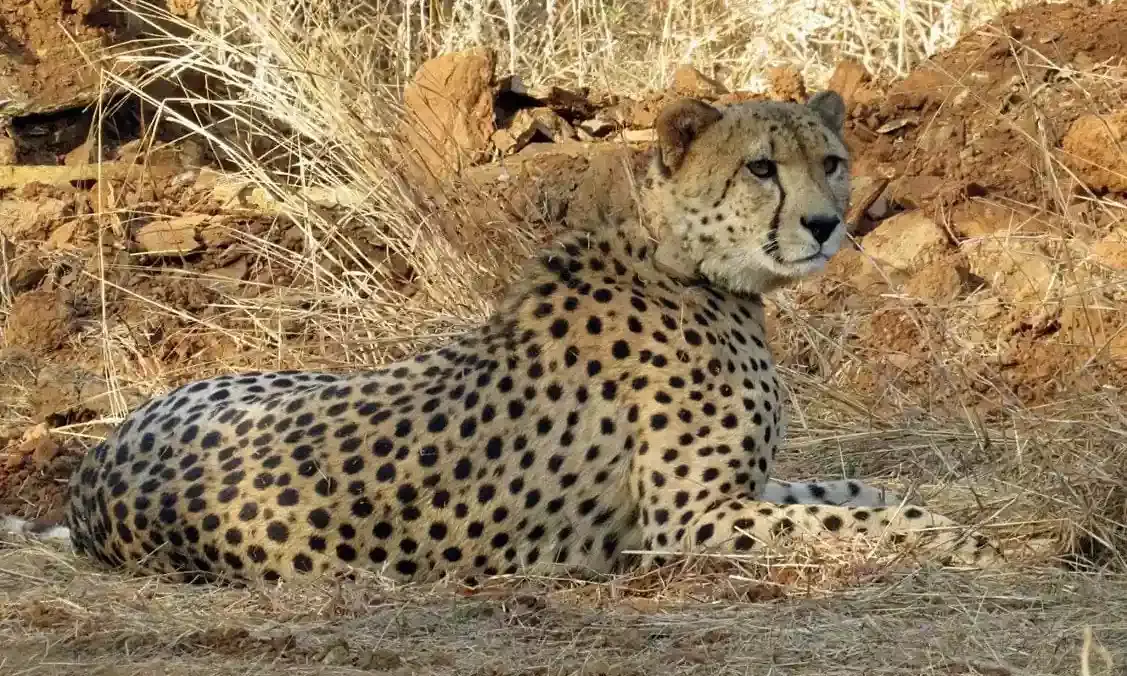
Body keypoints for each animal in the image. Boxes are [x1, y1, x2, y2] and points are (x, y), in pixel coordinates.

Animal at [2, 90, 1001, 583]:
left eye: (829, 161)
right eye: (761, 168)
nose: (828, 225)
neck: (684, 261)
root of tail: (90, 475)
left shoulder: (739, 490)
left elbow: (852, 487)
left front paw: (948, 514)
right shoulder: (685, 520)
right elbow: (843, 517)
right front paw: (953, 541)